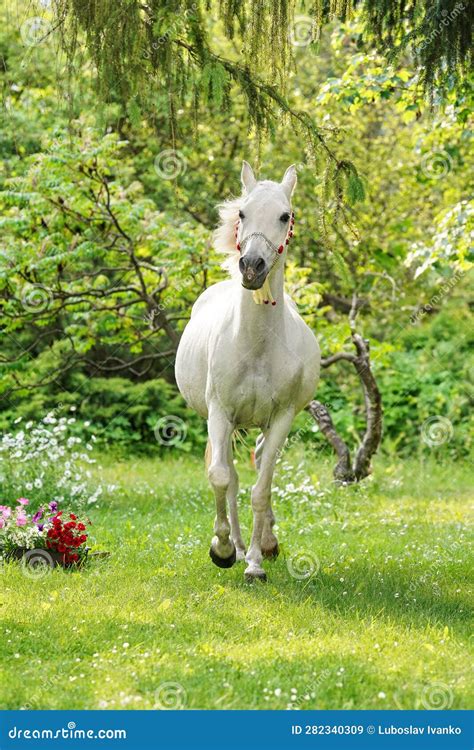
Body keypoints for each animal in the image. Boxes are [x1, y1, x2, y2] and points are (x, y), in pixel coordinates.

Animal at [176, 162, 320, 584]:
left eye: (285, 216)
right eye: (242, 212)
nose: (252, 267)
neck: (255, 344)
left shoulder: (282, 419)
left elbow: (262, 488)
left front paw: (256, 562)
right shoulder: (220, 414)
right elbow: (223, 478)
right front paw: (223, 550)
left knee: (258, 469)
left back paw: (263, 545)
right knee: (232, 475)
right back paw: (237, 547)